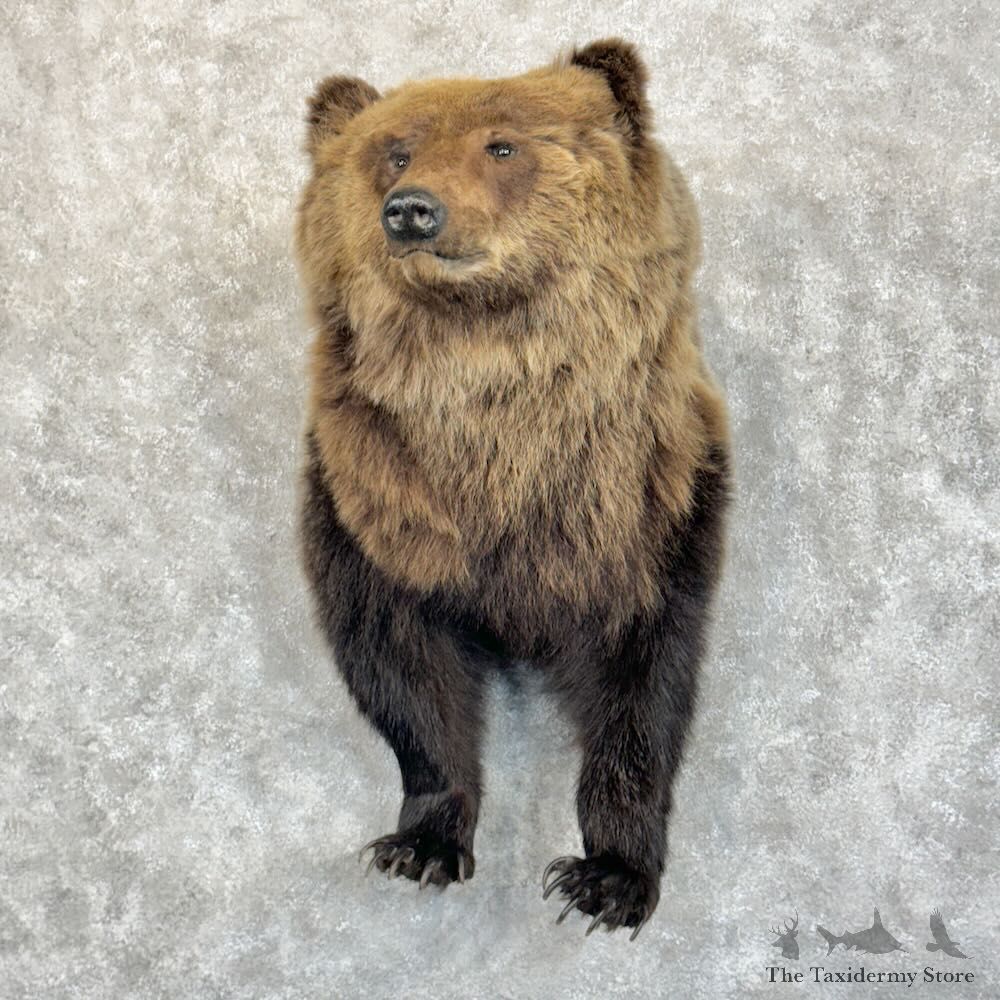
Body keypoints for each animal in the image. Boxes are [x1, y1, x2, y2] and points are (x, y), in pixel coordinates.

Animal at [294, 38, 730, 939]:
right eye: (394, 151)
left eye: (501, 145)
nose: (412, 210)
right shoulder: (374, 504)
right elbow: (399, 666)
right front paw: (422, 842)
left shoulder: (645, 509)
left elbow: (646, 685)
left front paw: (608, 877)